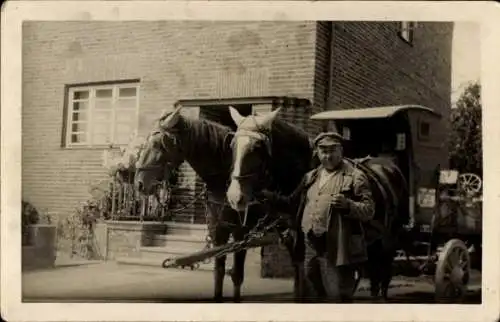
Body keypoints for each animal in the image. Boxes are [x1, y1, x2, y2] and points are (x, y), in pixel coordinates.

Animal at [135, 105, 278, 302]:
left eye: (158, 143)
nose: (139, 184)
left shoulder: (242, 232)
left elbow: (237, 275)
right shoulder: (218, 230)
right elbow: (218, 272)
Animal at [227, 107, 410, 300]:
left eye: (258, 147)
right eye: (232, 145)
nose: (234, 196)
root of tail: (389, 167)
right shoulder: (293, 240)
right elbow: (301, 276)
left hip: (391, 234)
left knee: (384, 266)